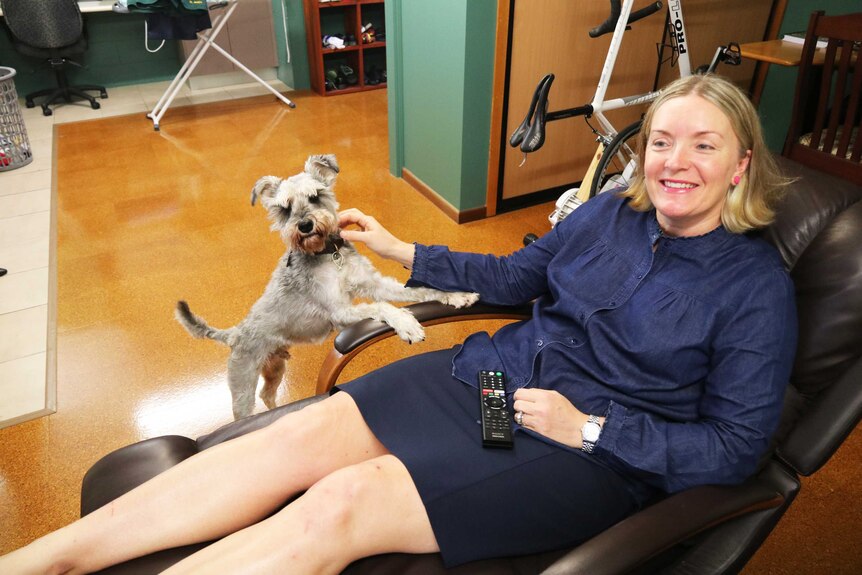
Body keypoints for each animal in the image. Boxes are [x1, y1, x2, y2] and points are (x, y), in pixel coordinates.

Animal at [177, 155, 480, 420]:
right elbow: (382, 307)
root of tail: (234, 333)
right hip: (243, 386)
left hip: (275, 367)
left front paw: (457, 295)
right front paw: (406, 324)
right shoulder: (339, 311)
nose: (304, 225)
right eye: (285, 208)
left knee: (267, 394)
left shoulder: (374, 283)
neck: (328, 254)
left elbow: (416, 289)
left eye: (315, 196)